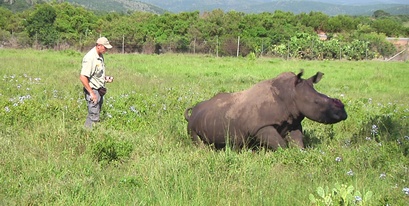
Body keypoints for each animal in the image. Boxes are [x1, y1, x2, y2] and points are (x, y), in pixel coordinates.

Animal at [183, 70, 346, 150]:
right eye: (316, 102)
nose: (344, 113)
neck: (290, 94)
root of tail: (192, 114)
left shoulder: (293, 123)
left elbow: (298, 142)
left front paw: (300, 154)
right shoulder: (261, 127)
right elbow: (280, 144)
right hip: (192, 125)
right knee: (197, 140)